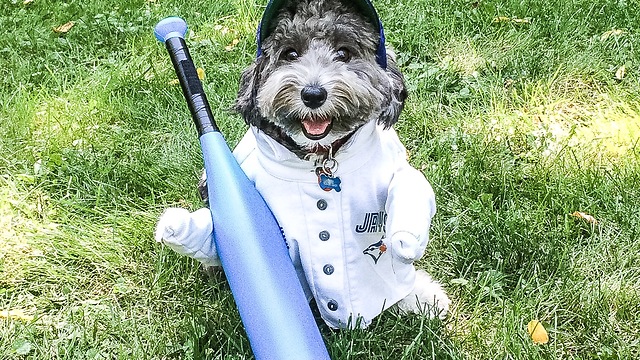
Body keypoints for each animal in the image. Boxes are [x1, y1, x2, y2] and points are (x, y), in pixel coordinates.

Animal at [156, 0, 450, 330]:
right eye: (290, 54)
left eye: (344, 53)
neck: (321, 160)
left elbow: (408, 195)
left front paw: (416, 290)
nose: (313, 94)